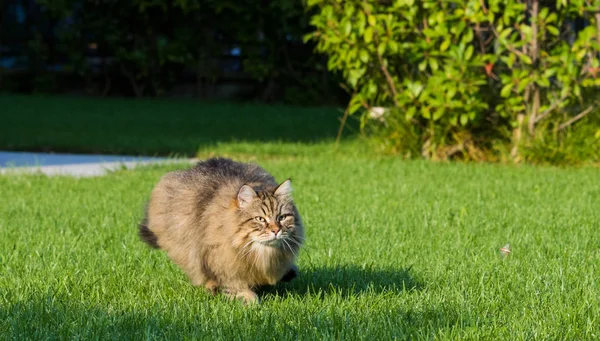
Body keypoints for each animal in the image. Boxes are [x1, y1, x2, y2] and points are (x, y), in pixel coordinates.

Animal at [139, 157, 304, 302]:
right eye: (260, 219)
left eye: (281, 217)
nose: (276, 231)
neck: (262, 254)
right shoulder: (220, 259)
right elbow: (234, 283)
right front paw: (247, 299)